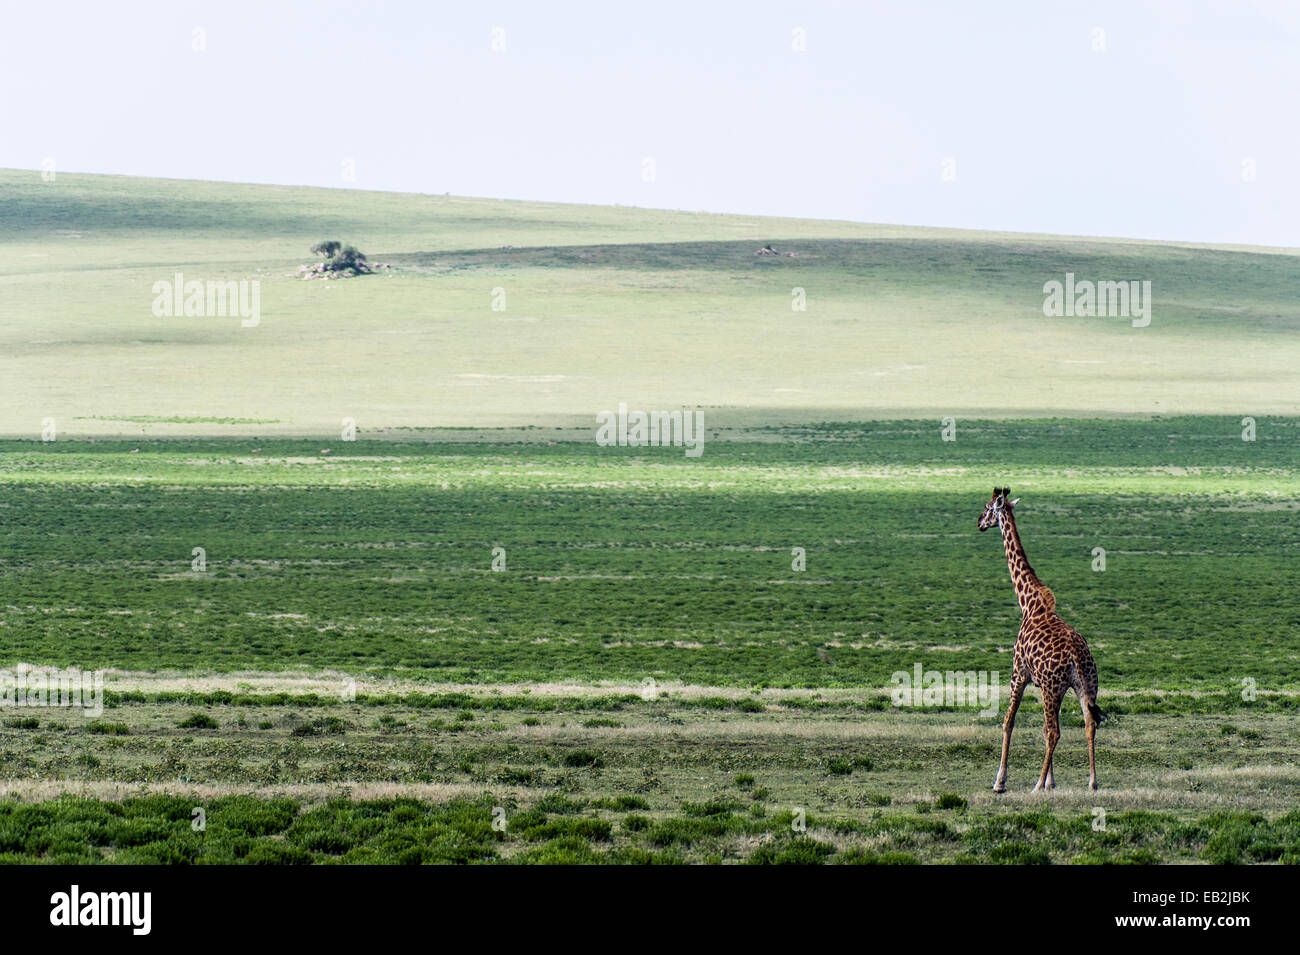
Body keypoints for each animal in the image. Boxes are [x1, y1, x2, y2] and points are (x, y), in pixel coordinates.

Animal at [977, 485, 1102, 789]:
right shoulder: (1046, 684)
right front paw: (1051, 782)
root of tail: (1076, 655)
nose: (979, 523)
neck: (1029, 603)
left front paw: (1001, 781)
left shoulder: (1018, 673)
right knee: (1089, 724)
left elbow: (1008, 721)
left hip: (1051, 687)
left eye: (987, 507)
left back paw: (1034, 787)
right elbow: (1042, 727)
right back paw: (1092, 783)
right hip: (1085, 685)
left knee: (1055, 731)